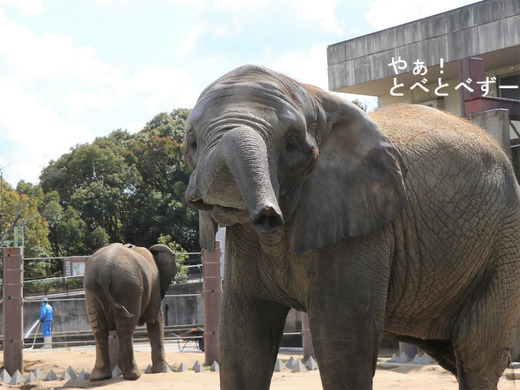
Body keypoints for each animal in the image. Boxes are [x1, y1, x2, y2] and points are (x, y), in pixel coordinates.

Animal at [84, 242, 177, 380]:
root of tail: (104, 274)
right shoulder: (154, 285)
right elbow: (153, 319)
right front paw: (157, 371)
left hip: (92, 290)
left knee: (100, 330)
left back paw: (99, 377)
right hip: (128, 287)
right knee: (125, 329)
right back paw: (134, 375)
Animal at [184, 65, 520, 388]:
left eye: (292, 144)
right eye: (192, 143)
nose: (267, 216)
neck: (312, 95)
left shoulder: (361, 224)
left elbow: (341, 340)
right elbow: (242, 337)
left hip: (504, 246)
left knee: (477, 353)